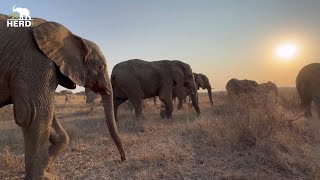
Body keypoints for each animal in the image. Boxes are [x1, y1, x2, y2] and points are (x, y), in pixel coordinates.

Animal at [0, 14, 126, 179]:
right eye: (101, 67)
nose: (123, 159)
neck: (74, 37)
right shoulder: (35, 59)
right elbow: (33, 114)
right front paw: (42, 174)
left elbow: (49, 115)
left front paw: (47, 172)